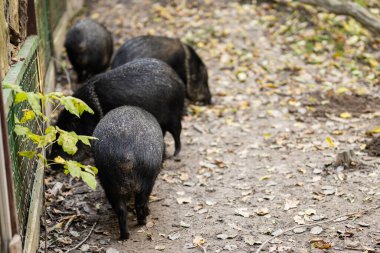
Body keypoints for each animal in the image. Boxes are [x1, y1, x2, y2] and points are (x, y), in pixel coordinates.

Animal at [93, 105, 164, 239]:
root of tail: (125, 155)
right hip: (146, 180)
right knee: (140, 204)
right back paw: (143, 222)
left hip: (109, 184)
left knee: (121, 210)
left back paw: (125, 235)